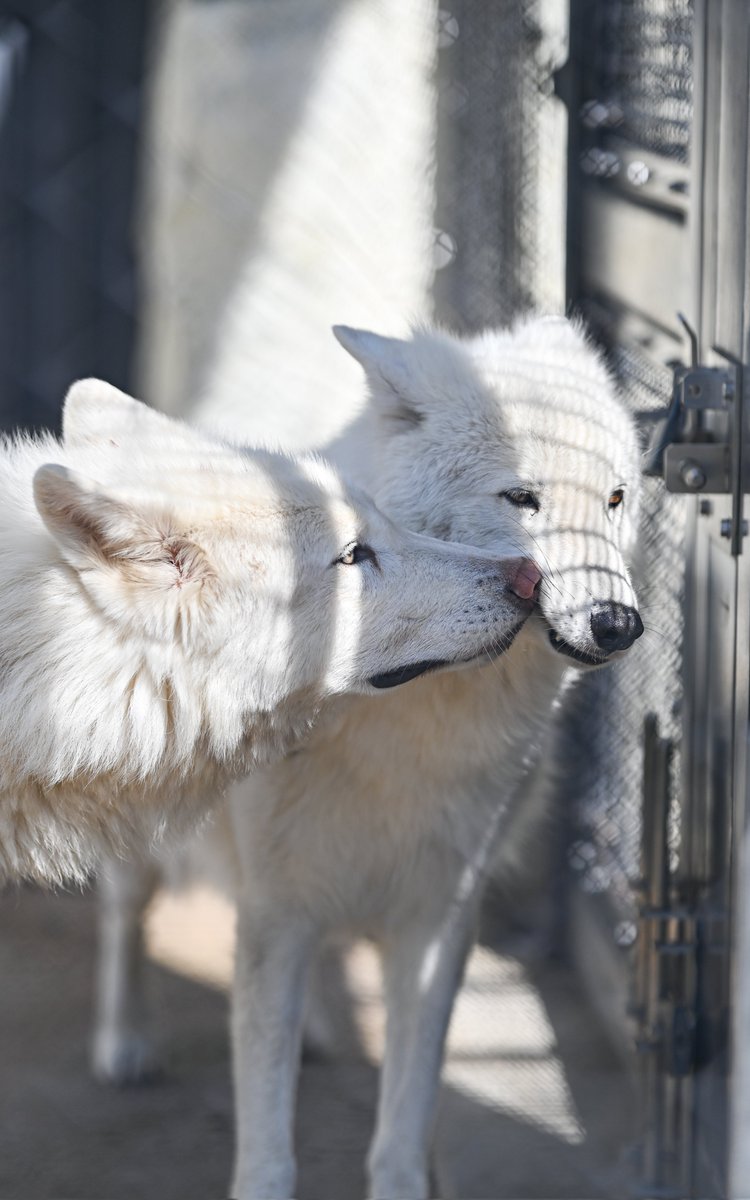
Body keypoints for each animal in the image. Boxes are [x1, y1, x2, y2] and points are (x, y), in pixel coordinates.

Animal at [91, 316, 643, 1200]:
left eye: (617, 498)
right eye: (522, 498)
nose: (618, 623)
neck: (413, 713)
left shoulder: (437, 916)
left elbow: (405, 1116)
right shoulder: (274, 911)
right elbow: (268, 1137)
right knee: (123, 918)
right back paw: (125, 1045)